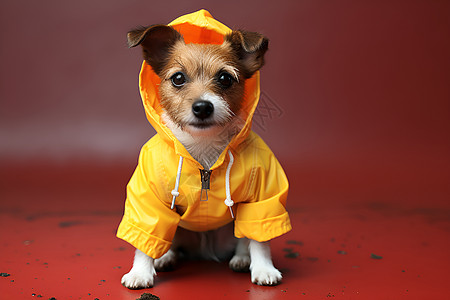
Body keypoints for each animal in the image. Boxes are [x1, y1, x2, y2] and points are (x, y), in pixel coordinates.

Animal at [118, 10, 290, 290]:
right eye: (178, 78)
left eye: (225, 78)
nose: (202, 106)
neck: (202, 149)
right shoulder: (148, 199)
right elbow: (146, 236)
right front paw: (140, 272)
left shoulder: (262, 197)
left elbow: (259, 238)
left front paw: (264, 268)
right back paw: (165, 257)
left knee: (242, 238)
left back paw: (242, 258)